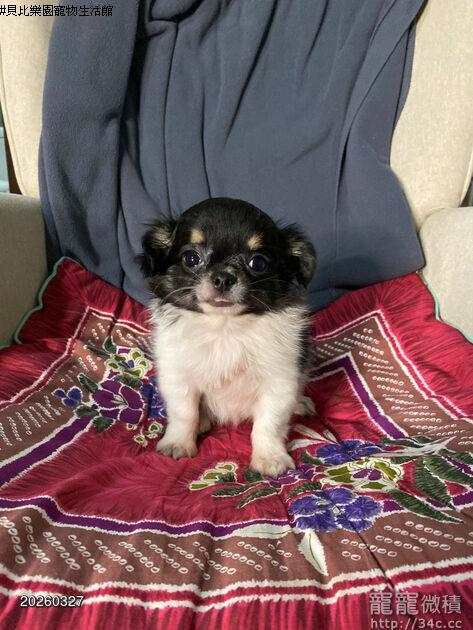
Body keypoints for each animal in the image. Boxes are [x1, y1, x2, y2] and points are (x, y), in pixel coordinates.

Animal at [141, 198, 316, 477]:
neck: (225, 327)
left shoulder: (279, 381)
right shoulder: (178, 376)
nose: (223, 277)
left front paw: (269, 458)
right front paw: (178, 443)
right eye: (191, 258)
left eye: (258, 263)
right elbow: (183, 413)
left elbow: (269, 424)